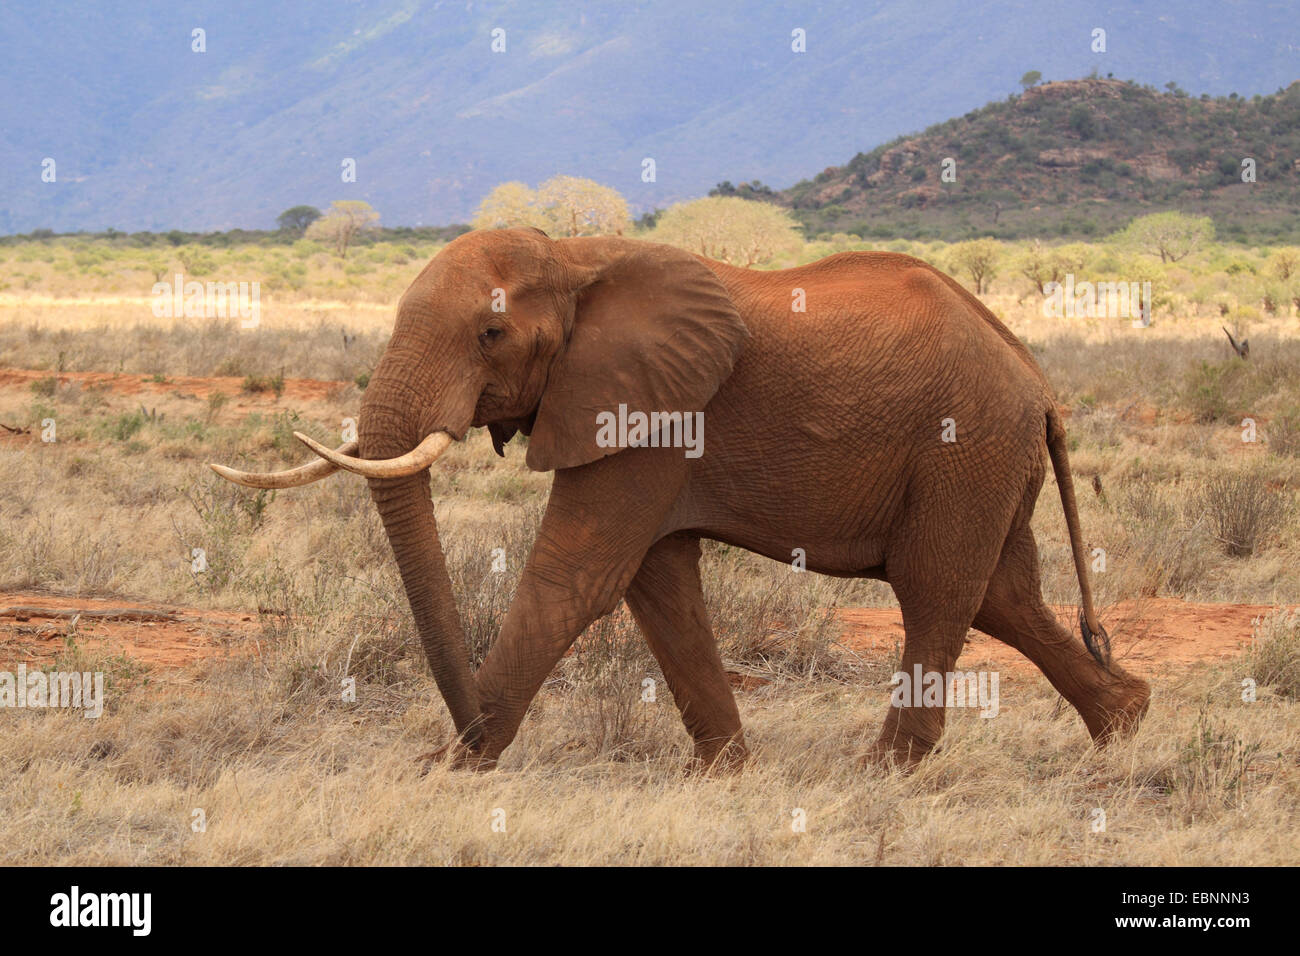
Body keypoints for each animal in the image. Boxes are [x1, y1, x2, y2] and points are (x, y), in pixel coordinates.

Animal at [210, 227, 1149, 775]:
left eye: (490, 333)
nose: (462, 733)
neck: (575, 254)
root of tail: (1037, 379)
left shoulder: (645, 409)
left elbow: (575, 578)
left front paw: (452, 772)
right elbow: (655, 583)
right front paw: (723, 774)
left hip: (965, 445)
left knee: (937, 592)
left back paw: (883, 774)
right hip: (988, 458)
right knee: (1003, 596)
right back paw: (1125, 727)